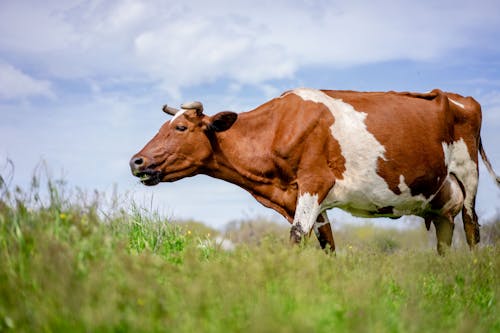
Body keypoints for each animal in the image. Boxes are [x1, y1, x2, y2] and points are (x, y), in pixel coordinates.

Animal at [130, 88, 500, 254]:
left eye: (181, 128)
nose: (136, 161)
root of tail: (456, 97)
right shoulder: (305, 197)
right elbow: (327, 243)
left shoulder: (313, 183)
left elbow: (296, 238)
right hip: (440, 199)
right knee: (444, 236)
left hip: (468, 177)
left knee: (471, 229)